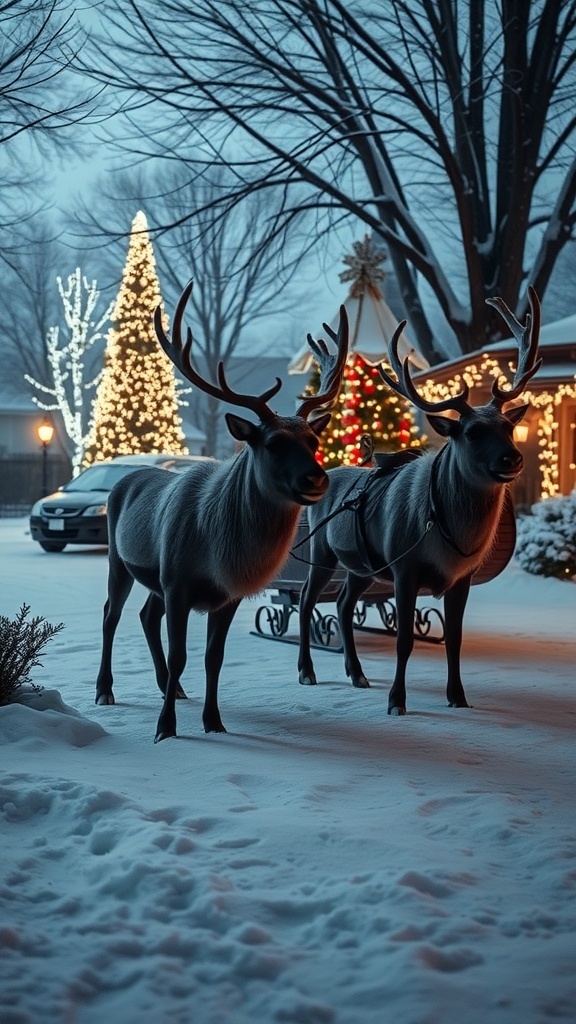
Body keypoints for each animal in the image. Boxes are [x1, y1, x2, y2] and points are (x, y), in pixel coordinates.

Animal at [95, 280, 348, 741]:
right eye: (273, 443)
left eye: (314, 442)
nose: (317, 480)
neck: (218, 552)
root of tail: (123, 480)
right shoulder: (177, 583)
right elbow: (181, 653)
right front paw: (165, 729)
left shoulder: (226, 595)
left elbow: (214, 658)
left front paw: (213, 721)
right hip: (119, 561)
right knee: (111, 615)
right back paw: (105, 690)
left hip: (154, 579)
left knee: (146, 614)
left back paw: (172, 687)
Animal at [297, 287, 542, 715]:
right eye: (472, 432)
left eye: (509, 427)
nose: (513, 459)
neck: (445, 533)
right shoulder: (404, 568)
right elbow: (404, 641)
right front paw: (397, 701)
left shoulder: (462, 578)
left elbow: (454, 640)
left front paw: (458, 697)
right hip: (322, 551)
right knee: (306, 600)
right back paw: (307, 671)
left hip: (362, 566)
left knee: (342, 604)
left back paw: (357, 673)